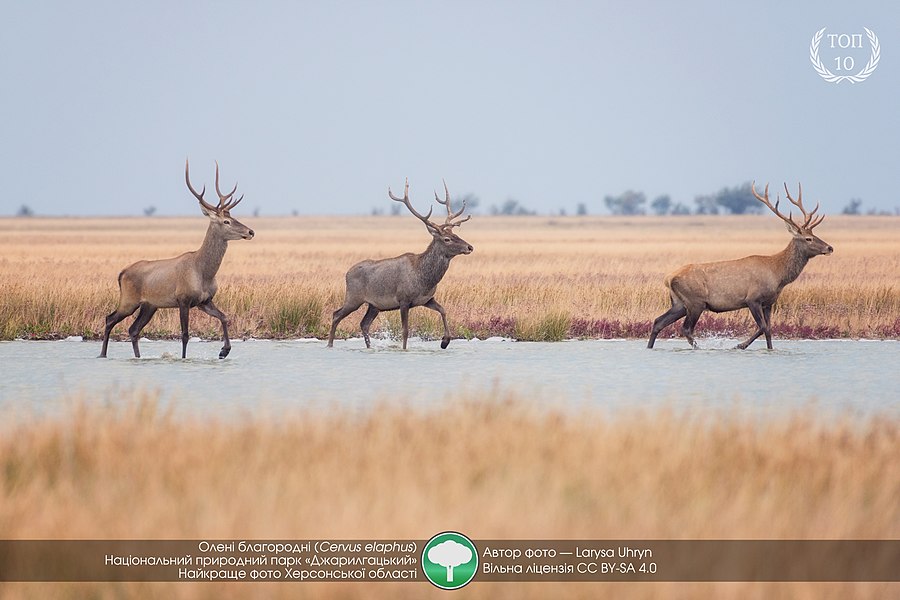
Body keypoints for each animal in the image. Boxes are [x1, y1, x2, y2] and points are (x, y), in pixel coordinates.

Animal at [100, 159, 255, 358]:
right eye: (226, 221)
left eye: (233, 217)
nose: (250, 232)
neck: (204, 272)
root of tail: (121, 273)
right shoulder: (183, 299)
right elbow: (185, 334)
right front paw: (184, 358)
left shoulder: (204, 301)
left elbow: (224, 316)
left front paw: (224, 351)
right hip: (129, 300)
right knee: (110, 318)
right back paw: (102, 354)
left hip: (149, 305)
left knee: (133, 329)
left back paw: (137, 356)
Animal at [326, 178, 474, 350]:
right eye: (447, 239)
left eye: (455, 233)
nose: (469, 247)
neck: (424, 279)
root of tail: (347, 273)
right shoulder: (403, 299)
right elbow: (405, 330)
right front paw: (404, 349)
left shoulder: (426, 299)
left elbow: (443, 310)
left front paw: (445, 342)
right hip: (353, 297)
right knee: (336, 314)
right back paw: (330, 345)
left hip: (374, 305)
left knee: (364, 324)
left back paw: (368, 347)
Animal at [648, 183, 828, 352]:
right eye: (808, 238)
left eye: (814, 235)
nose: (829, 248)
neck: (779, 275)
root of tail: (668, 278)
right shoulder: (752, 299)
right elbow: (762, 327)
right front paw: (739, 345)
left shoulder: (769, 302)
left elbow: (769, 330)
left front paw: (769, 350)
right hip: (695, 302)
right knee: (686, 328)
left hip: (679, 303)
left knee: (658, 322)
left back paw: (650, 347)